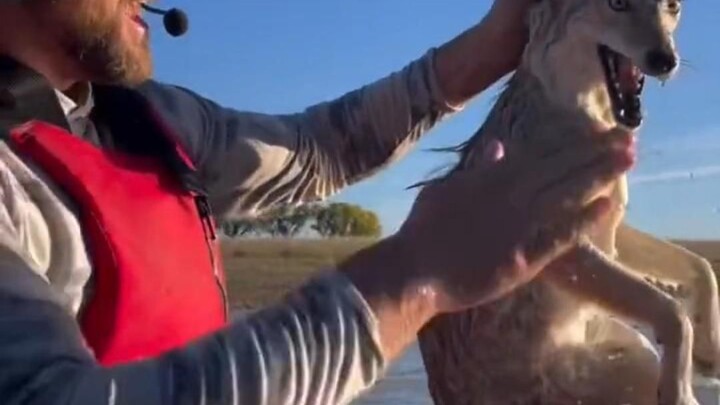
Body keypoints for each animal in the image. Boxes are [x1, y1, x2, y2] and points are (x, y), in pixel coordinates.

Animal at [416, 0, 719, 404]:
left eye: (672, 7)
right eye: (617, 4)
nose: (665, 60)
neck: (581, 108)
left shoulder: (608, 220)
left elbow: (700, 267)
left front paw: (708, 351)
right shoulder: (551, 241)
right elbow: (673, 313)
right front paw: (679, 389)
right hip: (623, 364)